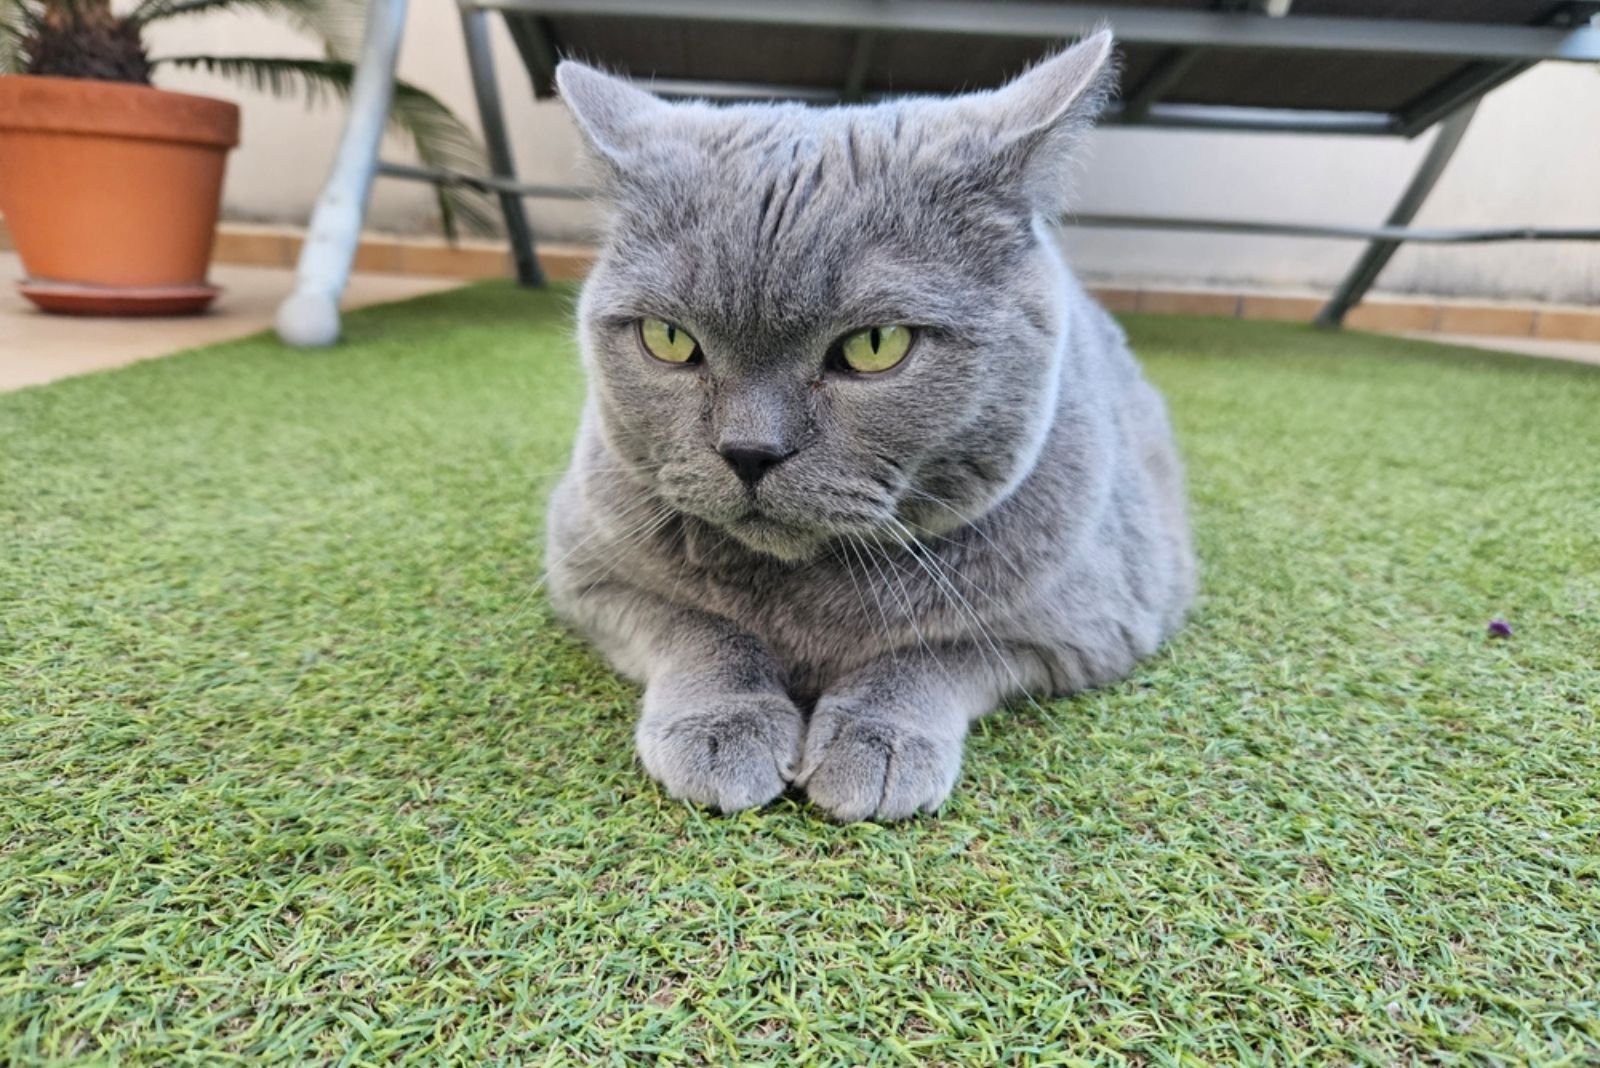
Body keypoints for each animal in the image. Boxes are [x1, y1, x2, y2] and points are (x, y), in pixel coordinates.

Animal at [544, 29, 1196, 824]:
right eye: (668, 339)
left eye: (875, 345)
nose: (749, 450)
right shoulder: (585, 570)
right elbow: (697, 624)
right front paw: (724, 727)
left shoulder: (1091, 622)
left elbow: (937, 650)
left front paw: (876, 742)